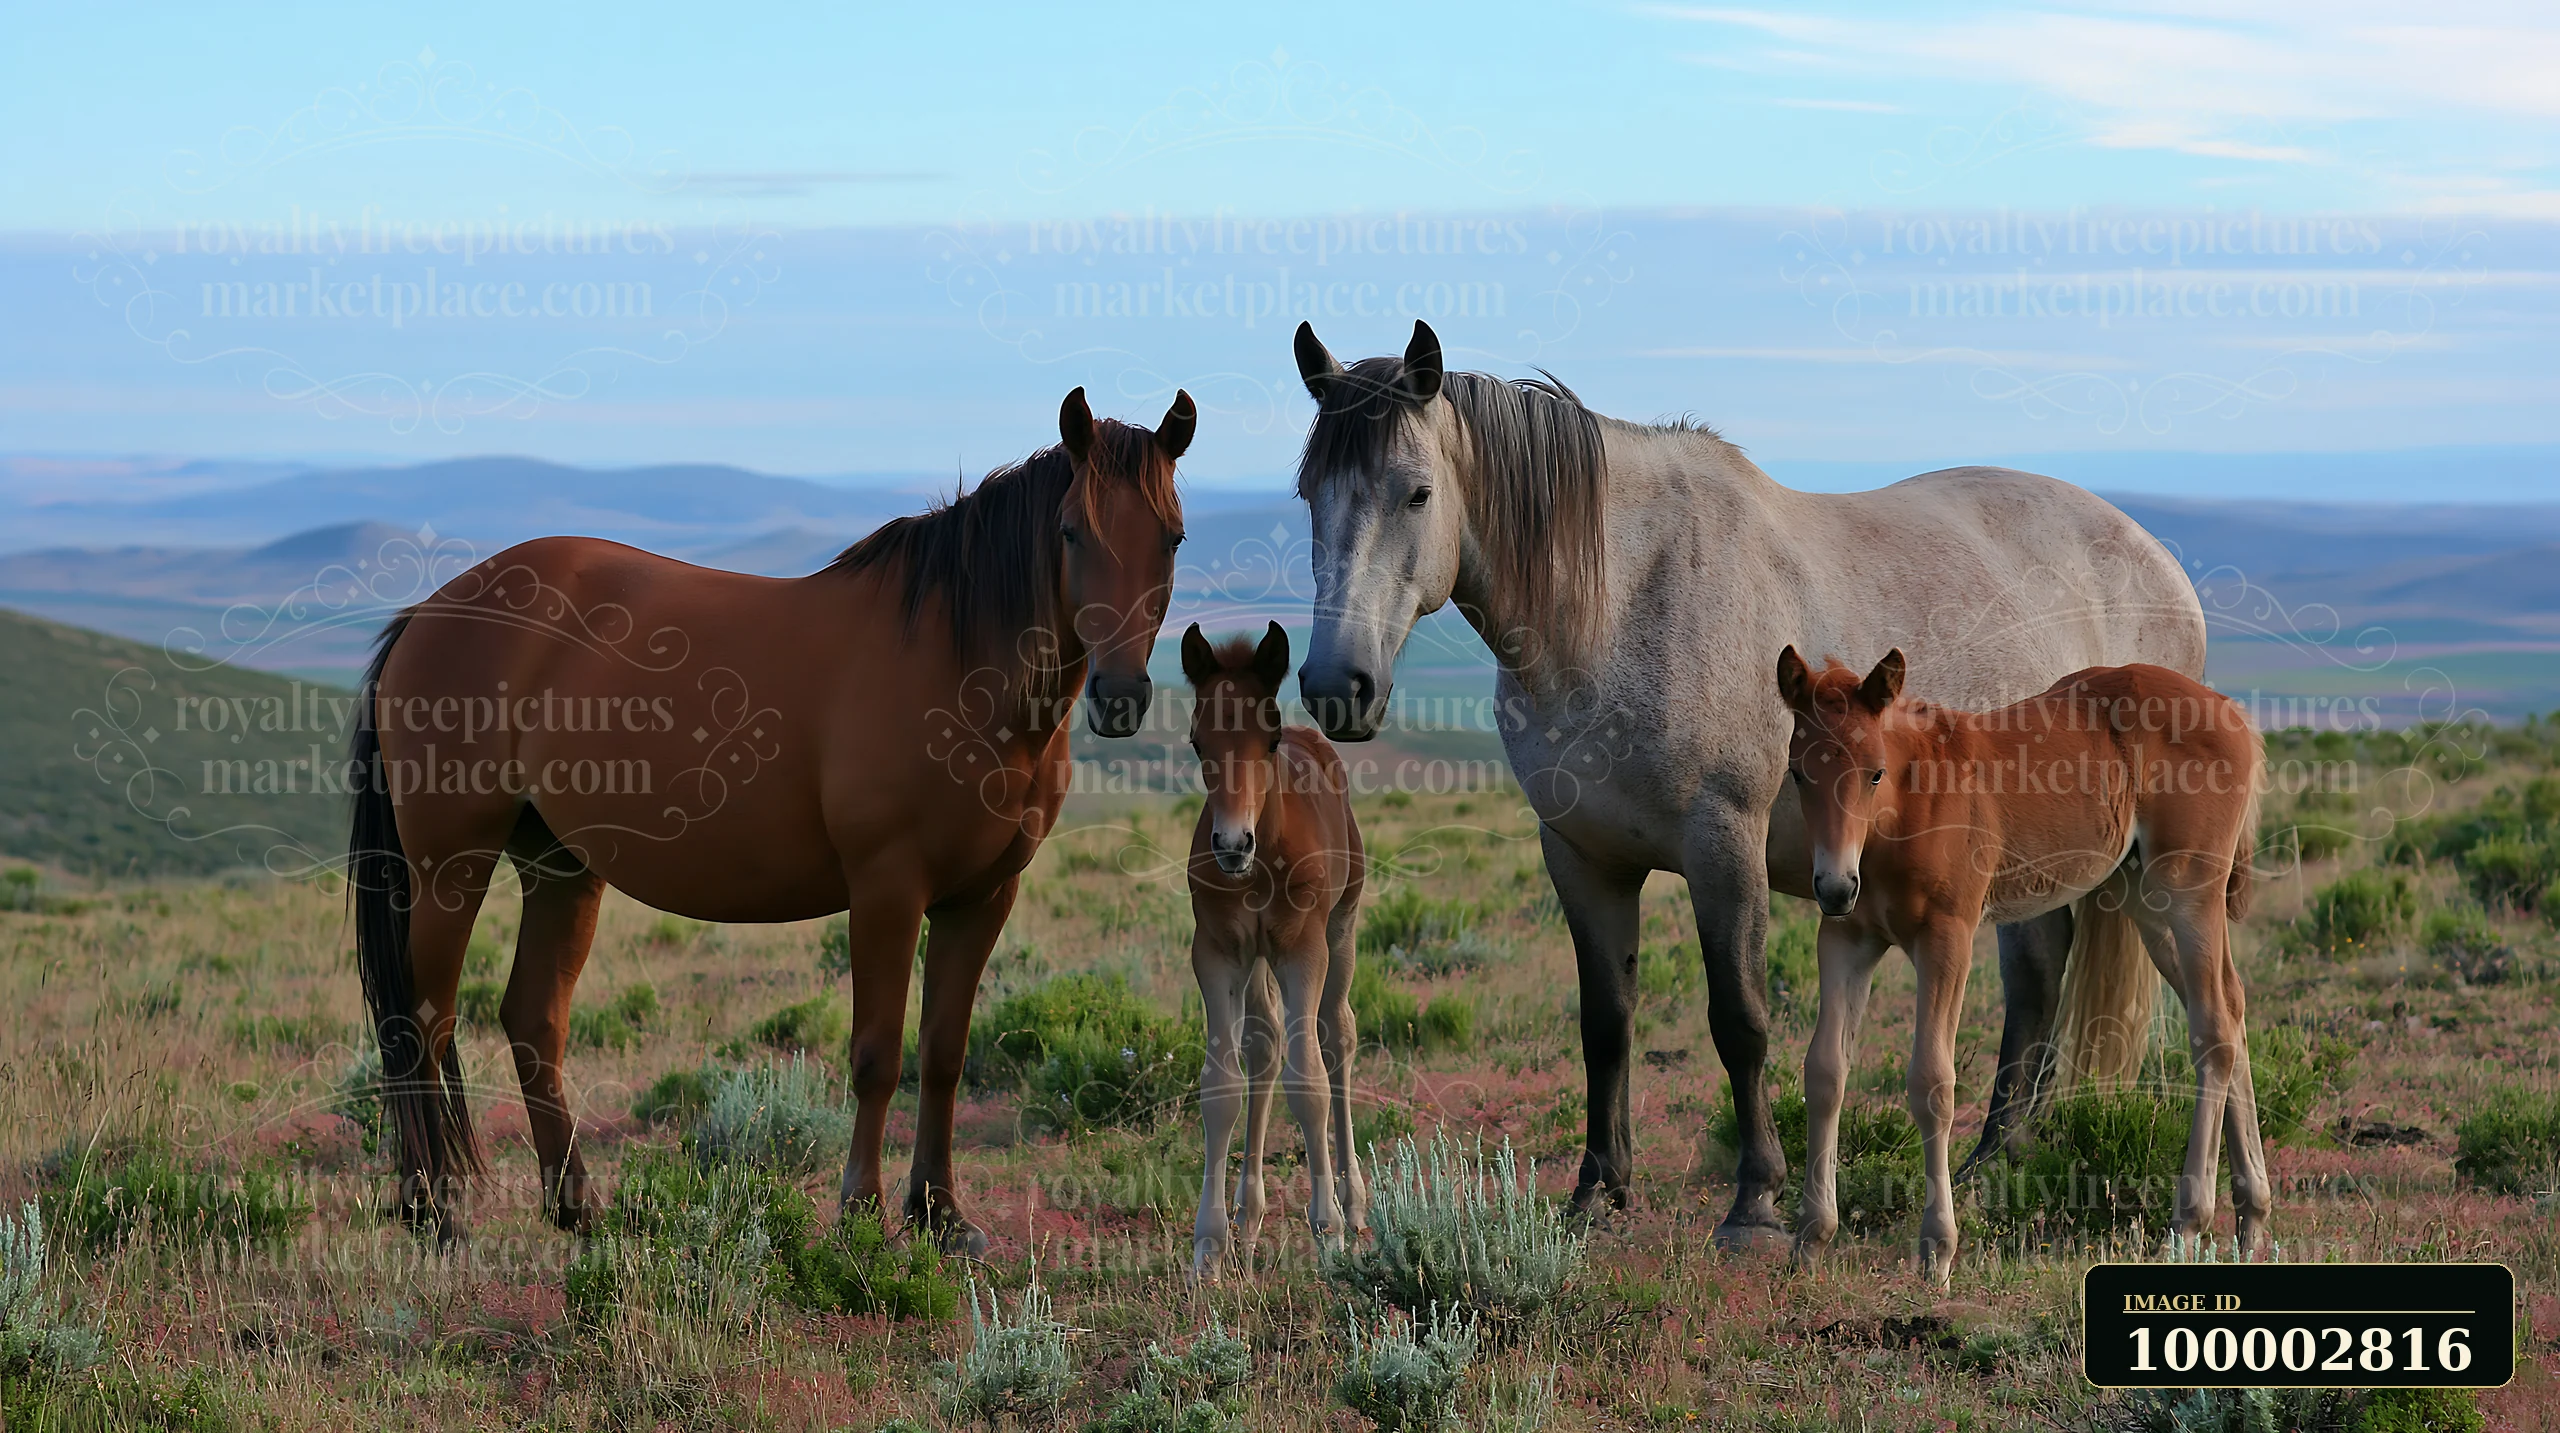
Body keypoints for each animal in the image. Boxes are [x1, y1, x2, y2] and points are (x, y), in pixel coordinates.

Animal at [348, 387, 1193, 1247]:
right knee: (424, 1021)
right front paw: (862, 1213)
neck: (960, 667)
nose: (1122, 695)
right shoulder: (887, 890)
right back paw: (435, 1212)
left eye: (1173, 537)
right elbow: (877, 1055)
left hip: (561, 865)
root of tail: (427, 612)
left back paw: (575, 1205)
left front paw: (942, 1213)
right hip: (450, 866)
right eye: (1071, 531)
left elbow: (945, 1051)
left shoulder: (982, 897)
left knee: (532, 1018)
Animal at [1179, 621, 1368, 1279]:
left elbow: (1307, 1083)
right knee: (1262, 1047)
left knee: (1337, 1036)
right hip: (1257, 959)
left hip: (1342, 930)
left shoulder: (1301, 949)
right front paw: (1209, 1245)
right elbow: (1222, 1085)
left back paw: (1354, 1205)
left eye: (1271, 739)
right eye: (1197, 741)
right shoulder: (1216, 952)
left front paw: (1327, 1231)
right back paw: (1249, 1215)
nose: (1232, 844)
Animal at [1288, 319, 2207, 1244]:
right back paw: (2003, 1155)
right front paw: (1599, 1190)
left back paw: (1991, 1162)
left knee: (2037, 978)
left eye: (1417, 493)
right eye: (1307, 495)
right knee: (2038, 974)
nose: (1337, 686)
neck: (1626, 599)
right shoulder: (1582, 857)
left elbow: (1741, 1020)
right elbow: (1605, 1023)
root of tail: (2159, 566)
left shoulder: (1723, 844)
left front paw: (1756, 1200)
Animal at [1778, 647, 2267, 1280]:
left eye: (1874, 772)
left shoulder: (1948, 937)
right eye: (1798, 773)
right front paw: (1810, 1238)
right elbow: (1825, 1071)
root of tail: (2233, 712)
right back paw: (2251, 1216)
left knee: (2213, 1026)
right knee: (2230, 1007)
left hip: (2189, 893)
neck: (1907, 808)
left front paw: (1937, 1249)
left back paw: (2186, 1223)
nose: (1835, 886)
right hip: (2146, 900)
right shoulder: (1846, 938)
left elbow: (1931, 1082)